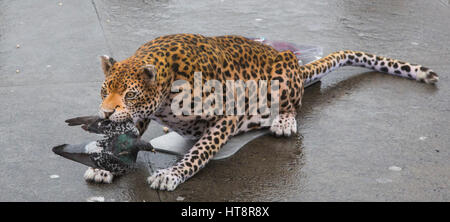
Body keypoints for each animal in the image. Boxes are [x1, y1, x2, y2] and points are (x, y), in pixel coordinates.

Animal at [83, 33, 436, 191]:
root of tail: (296, 63)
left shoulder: (226, 116)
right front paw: (104, 165)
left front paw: (172, 174)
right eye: (104, 90)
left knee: (294, 105)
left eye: (129, 94)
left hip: (284, 77)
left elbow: (199, 153)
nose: (103, 115)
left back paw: (284, 121)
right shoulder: (141, 117)